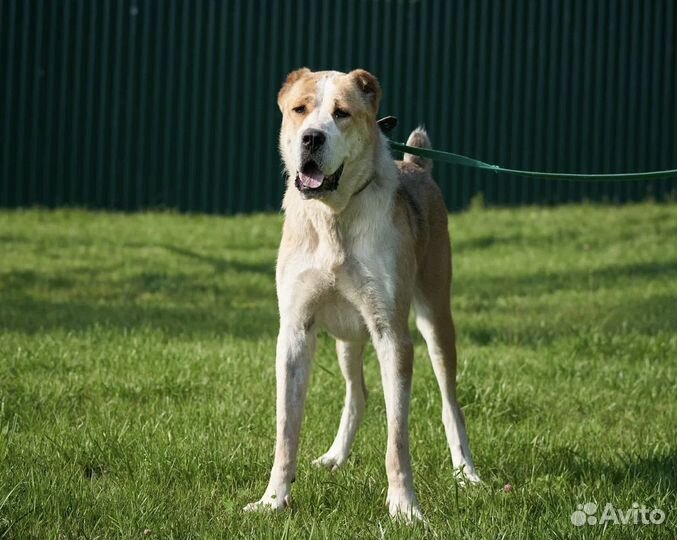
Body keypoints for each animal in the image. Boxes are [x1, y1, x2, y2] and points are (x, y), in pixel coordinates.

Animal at [243, 66, 480, 520]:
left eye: (342, 113)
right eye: (299, 109)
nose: (311, 138)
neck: (333, 218)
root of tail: (415, 165)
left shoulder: (391, 335)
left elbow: (397, 438)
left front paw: (404, 508)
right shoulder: (295, 333)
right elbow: (286, 432)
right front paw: (273, 501)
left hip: (436, 321)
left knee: (450, 402)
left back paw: (467, 473)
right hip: (347, 336)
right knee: (359, 392)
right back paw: (335, 457)